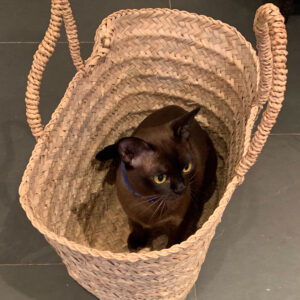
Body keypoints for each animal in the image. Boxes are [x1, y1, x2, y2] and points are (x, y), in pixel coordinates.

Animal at [97, 105, 217, 251]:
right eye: (160, 178)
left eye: (186, 167)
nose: (181, 188)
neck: (150, 200)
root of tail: (179, 107)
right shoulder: (132, 215)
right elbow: (137, 227)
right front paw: (137, 242)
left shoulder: (177, 223)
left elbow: (173, 243)